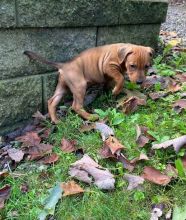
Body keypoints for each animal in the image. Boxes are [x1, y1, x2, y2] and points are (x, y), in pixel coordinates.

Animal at [24, 42, 153, 122]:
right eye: (132, 66)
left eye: (146, 66)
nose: (140, 82)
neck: (120, 55)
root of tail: (63, 65)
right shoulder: (108, 66)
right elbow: (120, 78)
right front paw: (116, 90)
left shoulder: (108, 76)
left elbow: (110, 83)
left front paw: (109, 93)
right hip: (79, 86)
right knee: (76, 106)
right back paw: (90, 117)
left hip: (62, 87)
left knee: (52, 101)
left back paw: (55, 120)